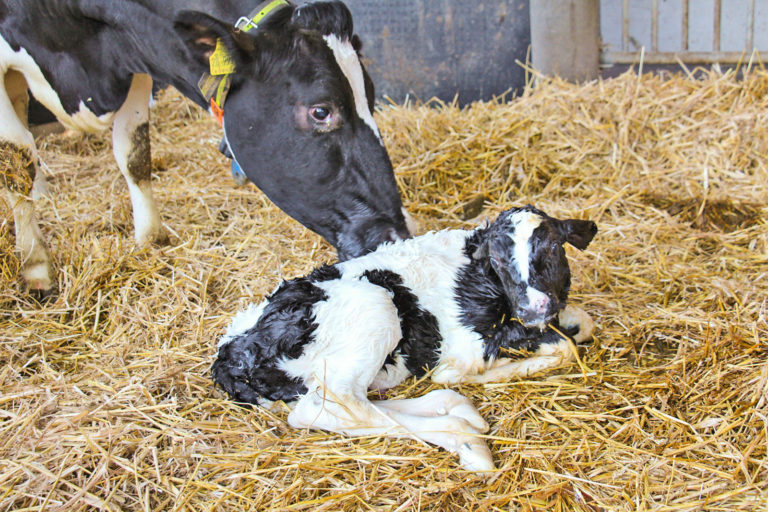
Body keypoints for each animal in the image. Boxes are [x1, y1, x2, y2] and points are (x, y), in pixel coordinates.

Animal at [0, 0, 412, 298]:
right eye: (321, 111)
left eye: (371, 96)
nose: (396, 237)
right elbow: (16, 158)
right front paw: (36, 269)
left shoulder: (137, 55)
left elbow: (134, 152)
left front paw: (150, 239)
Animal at [212, 206, 600, 474]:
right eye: (499, 260)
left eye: (554, 247)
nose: (533, 307)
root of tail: (232, 351)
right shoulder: (468, 343)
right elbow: (557, 349)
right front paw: (486, 372)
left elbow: (584, 324)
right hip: (376, 308)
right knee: (327, 408)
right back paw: (467, 440)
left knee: (343, 405)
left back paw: (460, 417)